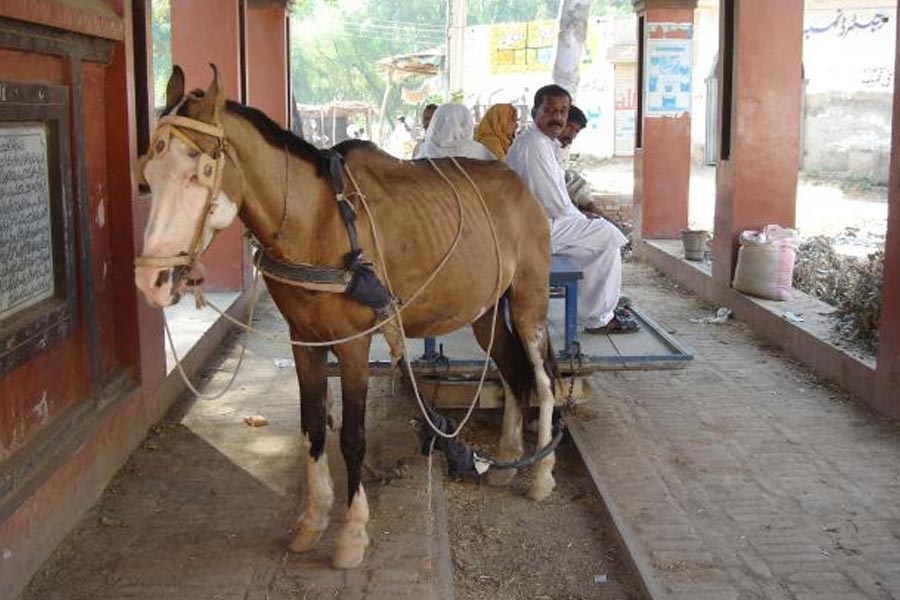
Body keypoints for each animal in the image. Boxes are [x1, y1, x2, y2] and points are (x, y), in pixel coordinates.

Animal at [134, 66, 558, 569]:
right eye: (147, 173)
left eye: (199, 172)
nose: (151, 279)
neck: (318, 222)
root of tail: (518, 183)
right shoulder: (305, 340)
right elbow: (313, 427)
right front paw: (313, 521)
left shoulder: (355, 341)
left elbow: (353, 435)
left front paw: (352, 533)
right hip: (485, 309)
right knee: (513, 372)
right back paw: (507, 460)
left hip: (529, 299)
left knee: (543, 379)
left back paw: (541, 475)